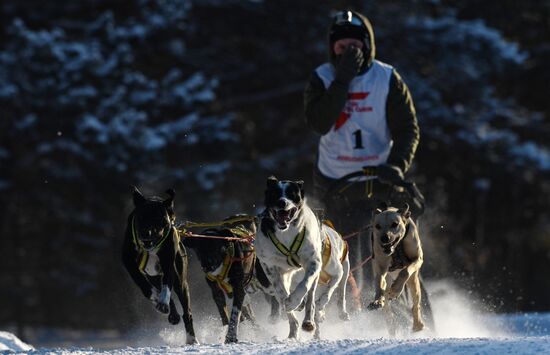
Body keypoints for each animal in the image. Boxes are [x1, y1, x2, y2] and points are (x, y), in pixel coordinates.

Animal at [123, 188, 198, 346]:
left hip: (181, 281)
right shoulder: (128, 261)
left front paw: (162, 300)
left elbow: (167, 287)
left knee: (186, 311)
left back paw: (191, 338)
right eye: (141, 217)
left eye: (159, 218)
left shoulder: (168, 261)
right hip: (155, 276)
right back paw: (172, 313)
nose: (146, 233)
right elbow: (143, 284)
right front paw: (156, 297)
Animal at [256, 177, 350, 340]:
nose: (282, 202)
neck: (286, 233)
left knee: (328, 294)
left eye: (292, 193)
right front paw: (290, 304)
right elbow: (281, 293)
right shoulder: (270, 267)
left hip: (341, 270)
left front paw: (296, 301)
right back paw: (294, 329)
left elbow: (306, 286)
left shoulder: (315, 264)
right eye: (274, 193)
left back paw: (311, 319)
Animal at [370, 204, 426, 336]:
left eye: (395, 224)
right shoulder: (380, 267)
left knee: (415, 305)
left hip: (414, 282)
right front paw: (377, 300)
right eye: (377, 226)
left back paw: (418, 325)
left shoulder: (417, 259)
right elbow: (379, 282)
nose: (384, 238)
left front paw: (395, 290)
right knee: (388, 312)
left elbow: (405, 271)